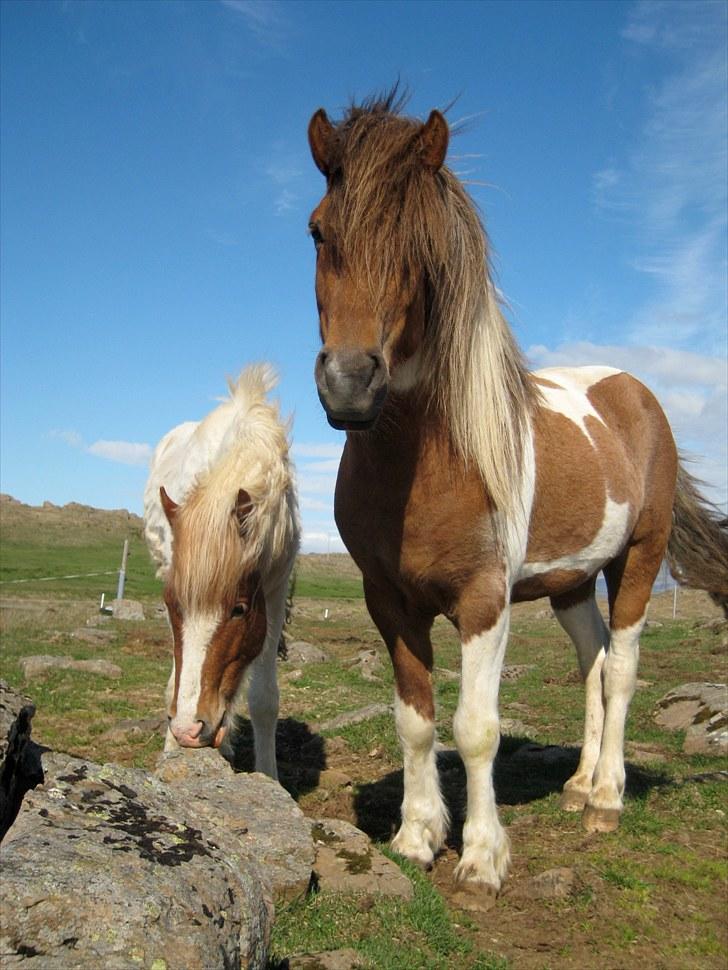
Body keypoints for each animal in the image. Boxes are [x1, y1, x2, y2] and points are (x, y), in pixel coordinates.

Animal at [144, 364, 300, 780]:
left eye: (239, 609)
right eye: (171, 606)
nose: (188, 729)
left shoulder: (274, 590)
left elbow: (264, 700)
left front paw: (267, 778)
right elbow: (177, 680)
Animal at [304, 92, 724, 892]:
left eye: (423, 242)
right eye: (317, 230)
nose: (349, 384)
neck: (430, 460)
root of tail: (637, 393)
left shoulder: (483, 600)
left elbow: (475, 729)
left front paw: (481, 857)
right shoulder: (388, 601)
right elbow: (415, 720)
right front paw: (416, 835)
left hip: (639, 559)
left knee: (622, 670)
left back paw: (608, 799)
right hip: (571, 583)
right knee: (593, 662)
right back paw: (580, 785)